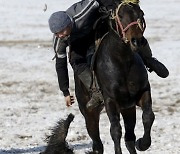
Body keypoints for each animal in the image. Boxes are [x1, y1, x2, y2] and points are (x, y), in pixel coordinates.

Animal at [74, 0, 155, 153]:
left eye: (141, 13)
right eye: (120, 16)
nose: (137, 41)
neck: (123, 61)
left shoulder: (142, 92)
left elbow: (148, 117)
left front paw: (142, 143)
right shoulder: (110, 100)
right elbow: (115, 130)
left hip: (127, 108)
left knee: (129, 137)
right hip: (89, 112)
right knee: (97, 142)